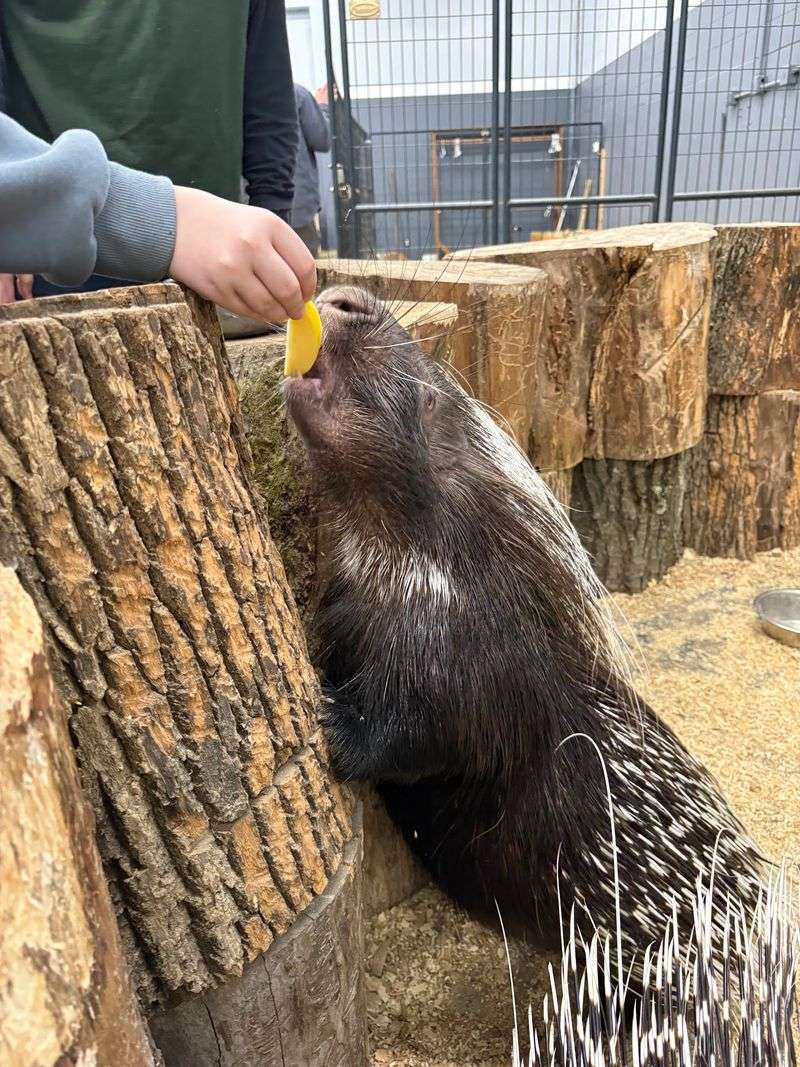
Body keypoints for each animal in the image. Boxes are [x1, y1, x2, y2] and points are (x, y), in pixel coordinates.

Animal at [284, 285, 764, 969]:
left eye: (429, 400)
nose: (345, 299)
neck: (398, 546)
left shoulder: (467, 664)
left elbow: (417, 738)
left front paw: (325, 717)